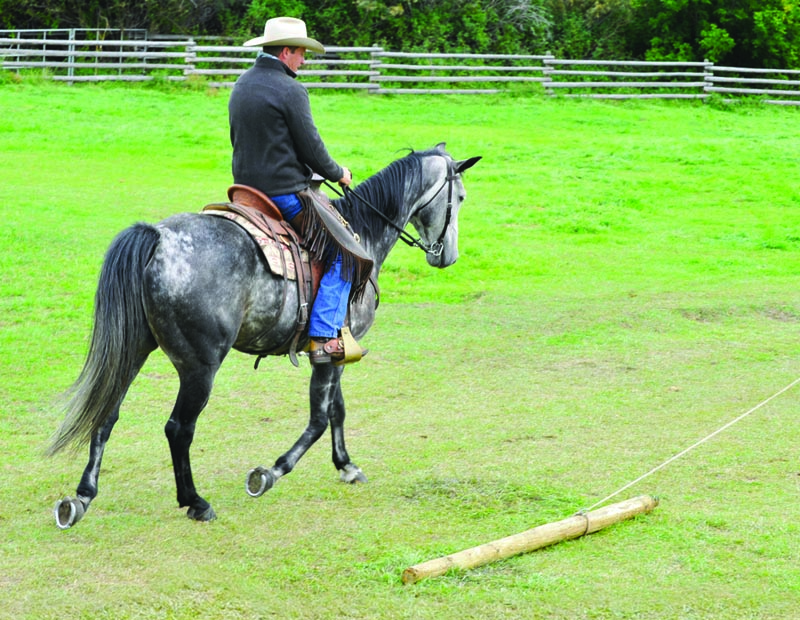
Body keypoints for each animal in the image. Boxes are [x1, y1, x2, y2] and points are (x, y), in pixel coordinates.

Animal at [48, 143, 480, 529]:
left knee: (107, 414)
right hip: (200, 366)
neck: (363, 234)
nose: (448, 256)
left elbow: (336, 410)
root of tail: (158, 238)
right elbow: (319, 418)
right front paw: (270, 472)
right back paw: (195, 501)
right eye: (459, 196)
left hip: (134, 350)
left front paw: (346, 465)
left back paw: (82, 497)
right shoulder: (331, 352)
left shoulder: (335, 350)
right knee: (178, 428)